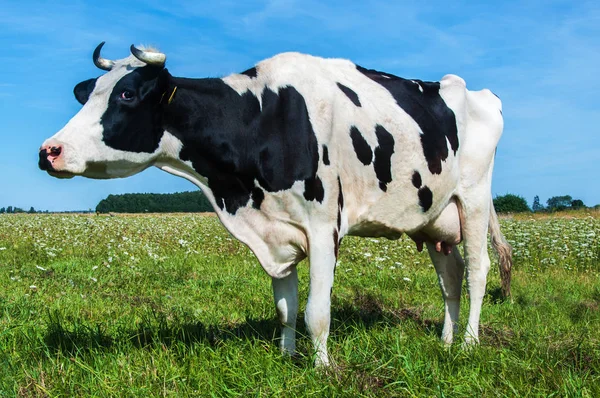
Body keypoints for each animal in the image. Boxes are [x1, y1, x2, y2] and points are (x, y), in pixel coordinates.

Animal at [39, 43, 510, 366]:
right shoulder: (277, 231)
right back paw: (445, 341)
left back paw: (469, 344)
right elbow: (286, 308)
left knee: (477, 270)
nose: (49, 151)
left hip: (472, 199)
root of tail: (476, 91)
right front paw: (287, 358)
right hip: (435, 219)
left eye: (128, 96)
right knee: (450, 278)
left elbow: (316, 312)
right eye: (89, 95)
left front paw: (321, 368)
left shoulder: (323, 226)